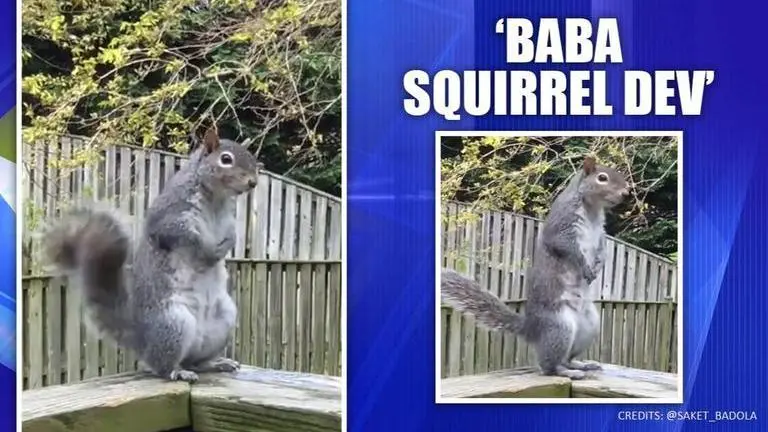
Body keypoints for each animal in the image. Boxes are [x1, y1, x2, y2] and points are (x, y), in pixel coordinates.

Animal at [44, 127, 263, 383]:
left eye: (250, 156)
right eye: (226, 159)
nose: (253, 182)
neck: (215, 198)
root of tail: (142, 340)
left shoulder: (228, 221)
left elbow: (232, 236)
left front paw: (224, 247)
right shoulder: (171, 217)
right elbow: (186, 237)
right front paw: (208, 252)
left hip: (224, 320)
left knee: (197, 362)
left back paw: (216, 363)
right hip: (173, 324)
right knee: (162, 366)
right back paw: (177, 371)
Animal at [442, 156, 630, 379]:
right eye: (602, 178)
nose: (626, 192)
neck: (591, 209)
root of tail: (532, 328)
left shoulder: (601, 233)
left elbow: (602, 251)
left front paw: (597, 267)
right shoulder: (562, 226)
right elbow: (567, 247)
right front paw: (585, 267)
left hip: (589, 326)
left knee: (566, 358)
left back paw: (580, 365)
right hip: (560, 327)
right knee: (549, 366)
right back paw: (566, 372)